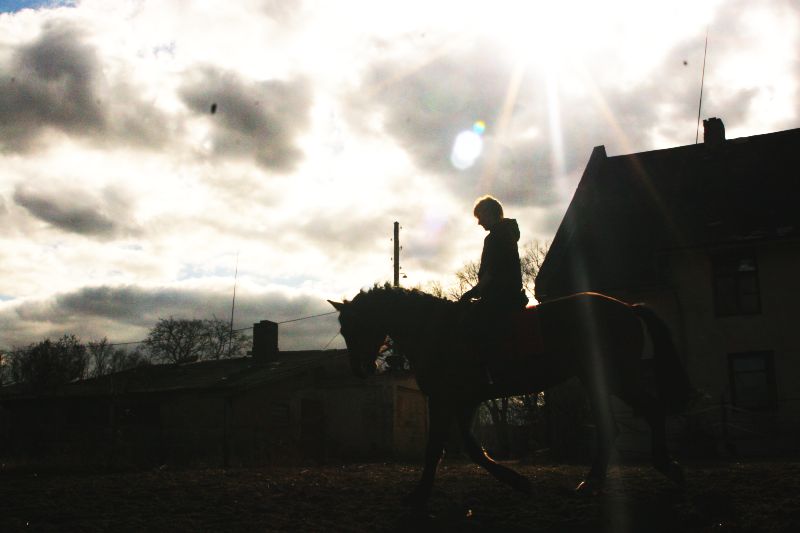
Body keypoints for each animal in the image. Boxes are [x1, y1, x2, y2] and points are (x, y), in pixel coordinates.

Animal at [329, 285, 695, 508]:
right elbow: (470, 448)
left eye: (354, 328)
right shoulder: (464, 400)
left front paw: (419, 495)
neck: (435, 330)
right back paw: (596, 481)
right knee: (618, 425)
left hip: (613, 376)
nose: (360, 370)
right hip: (596, 378)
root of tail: (628, 308)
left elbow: (437, 449)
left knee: (650, 411)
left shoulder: (449, 399)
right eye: (343, 330)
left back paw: (656, 470)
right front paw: (517, 481)